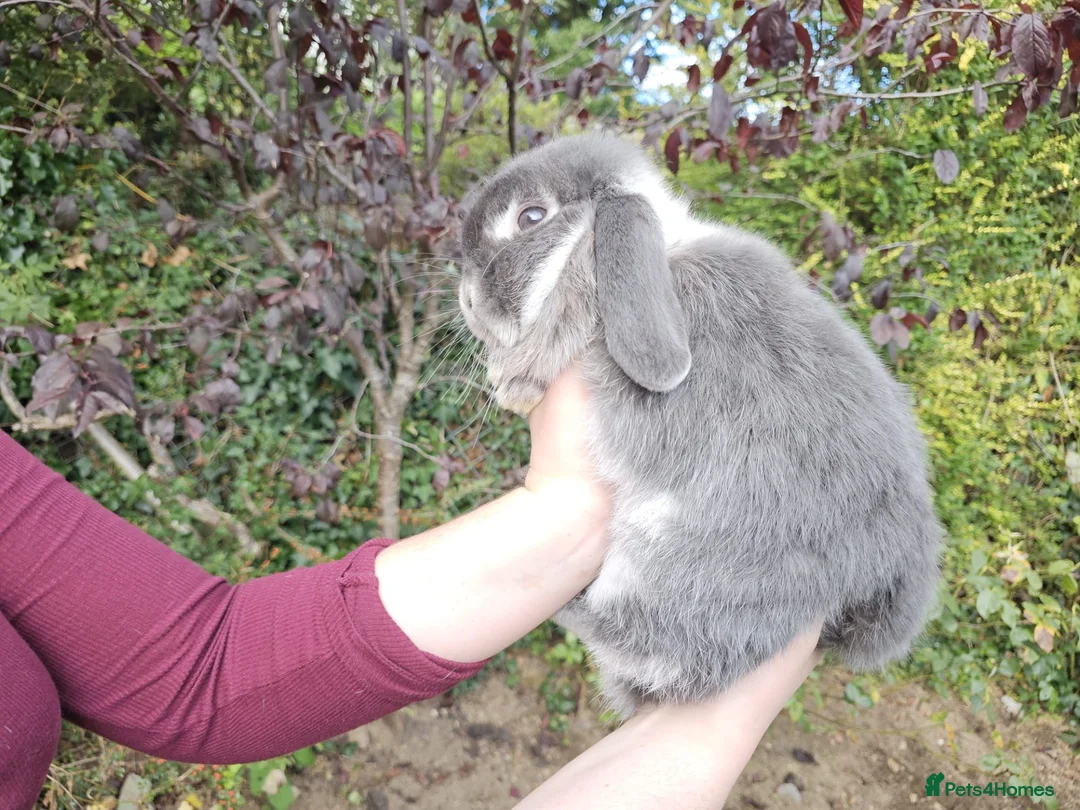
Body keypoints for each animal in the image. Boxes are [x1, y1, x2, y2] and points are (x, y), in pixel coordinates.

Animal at [456, 132, 944, 717]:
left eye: (531, 217)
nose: (467, 302)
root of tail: (891, 579)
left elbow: (571, 291)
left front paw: (515, 378)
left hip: (686, 568)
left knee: (654, 650)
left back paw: (570, 609)